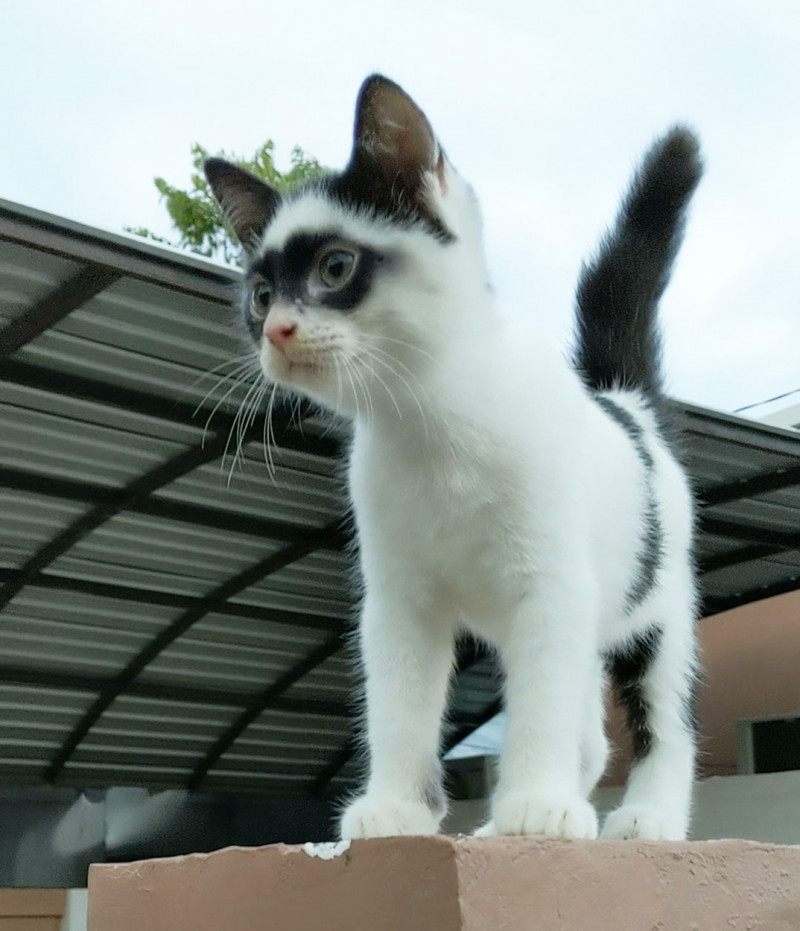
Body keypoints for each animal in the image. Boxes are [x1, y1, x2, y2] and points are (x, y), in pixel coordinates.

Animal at [205, 74, 700, 844]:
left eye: (335, 267)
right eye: (259, 295)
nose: (277, 330)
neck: (431, 426)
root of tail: (626, 404)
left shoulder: (551, 584)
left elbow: (544, 702)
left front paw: (538, 802)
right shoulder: (398, 598)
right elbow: (401, 703)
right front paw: (397, 807)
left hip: (657, 604)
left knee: (663, 719)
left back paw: (646, 817)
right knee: (591, 729)